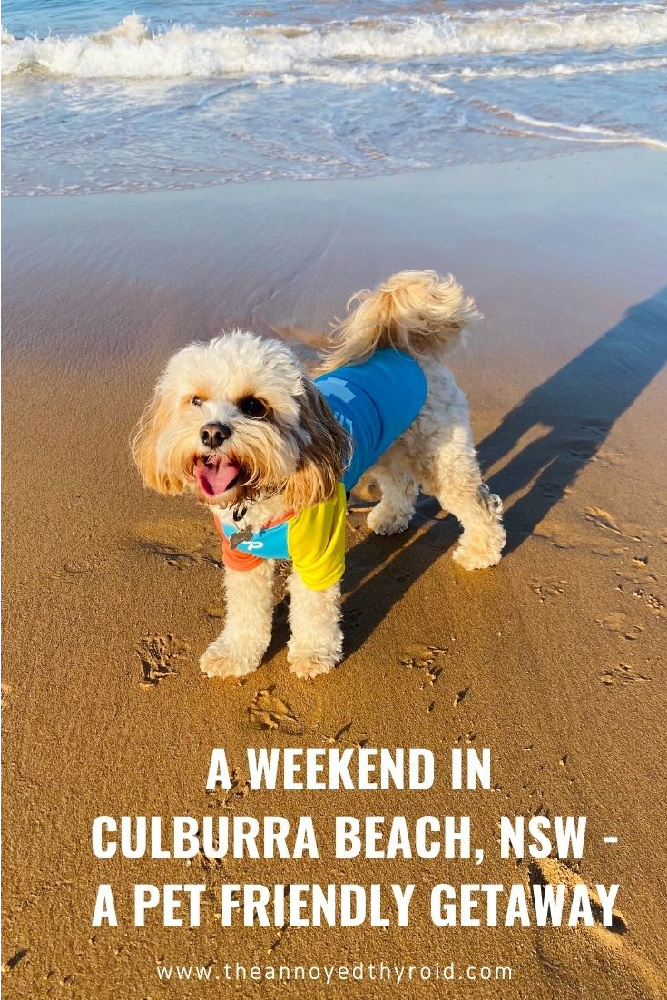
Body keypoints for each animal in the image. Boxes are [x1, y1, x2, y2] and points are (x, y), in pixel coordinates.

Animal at [132, 270, 506, 684]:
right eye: (196, 401)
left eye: (254, 406)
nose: (212, 433)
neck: (262, 495)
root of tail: (405, 351)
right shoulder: (241, 555)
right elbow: (245, 610)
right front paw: (235, 654)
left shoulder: (320, 553)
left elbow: (314, 609)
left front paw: (312, 655)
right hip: (386, 446)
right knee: (401, 483)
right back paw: (390, 518)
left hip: (439, 457)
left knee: (478, 502)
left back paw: (481, 550)